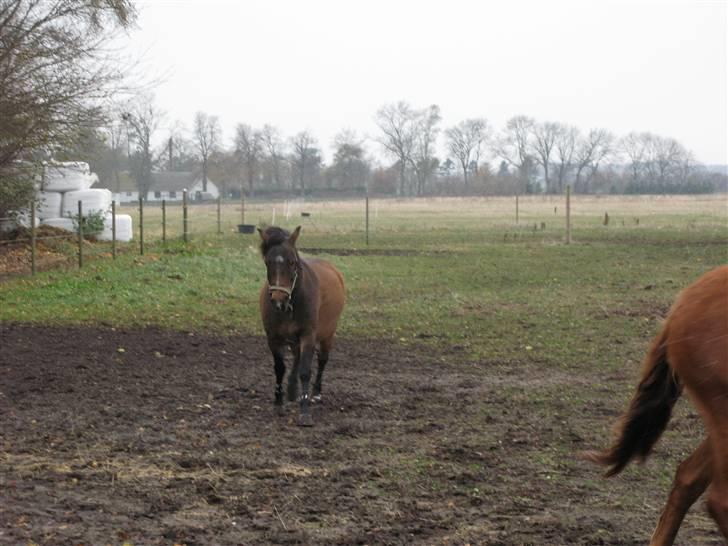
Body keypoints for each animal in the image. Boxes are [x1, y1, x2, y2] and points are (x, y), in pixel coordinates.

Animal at [258, 225, 346, 424]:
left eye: (292, 262)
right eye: (267, 262)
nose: (278, 299)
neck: (291, 304)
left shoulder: (308, 335)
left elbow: (305, 371)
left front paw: (305, 411)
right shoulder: (273, 338)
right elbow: (280, 368)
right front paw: (278, 403)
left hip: (328, 334)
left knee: (322, 360)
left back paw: (316, 393)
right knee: (297, 358)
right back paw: (292, 390)